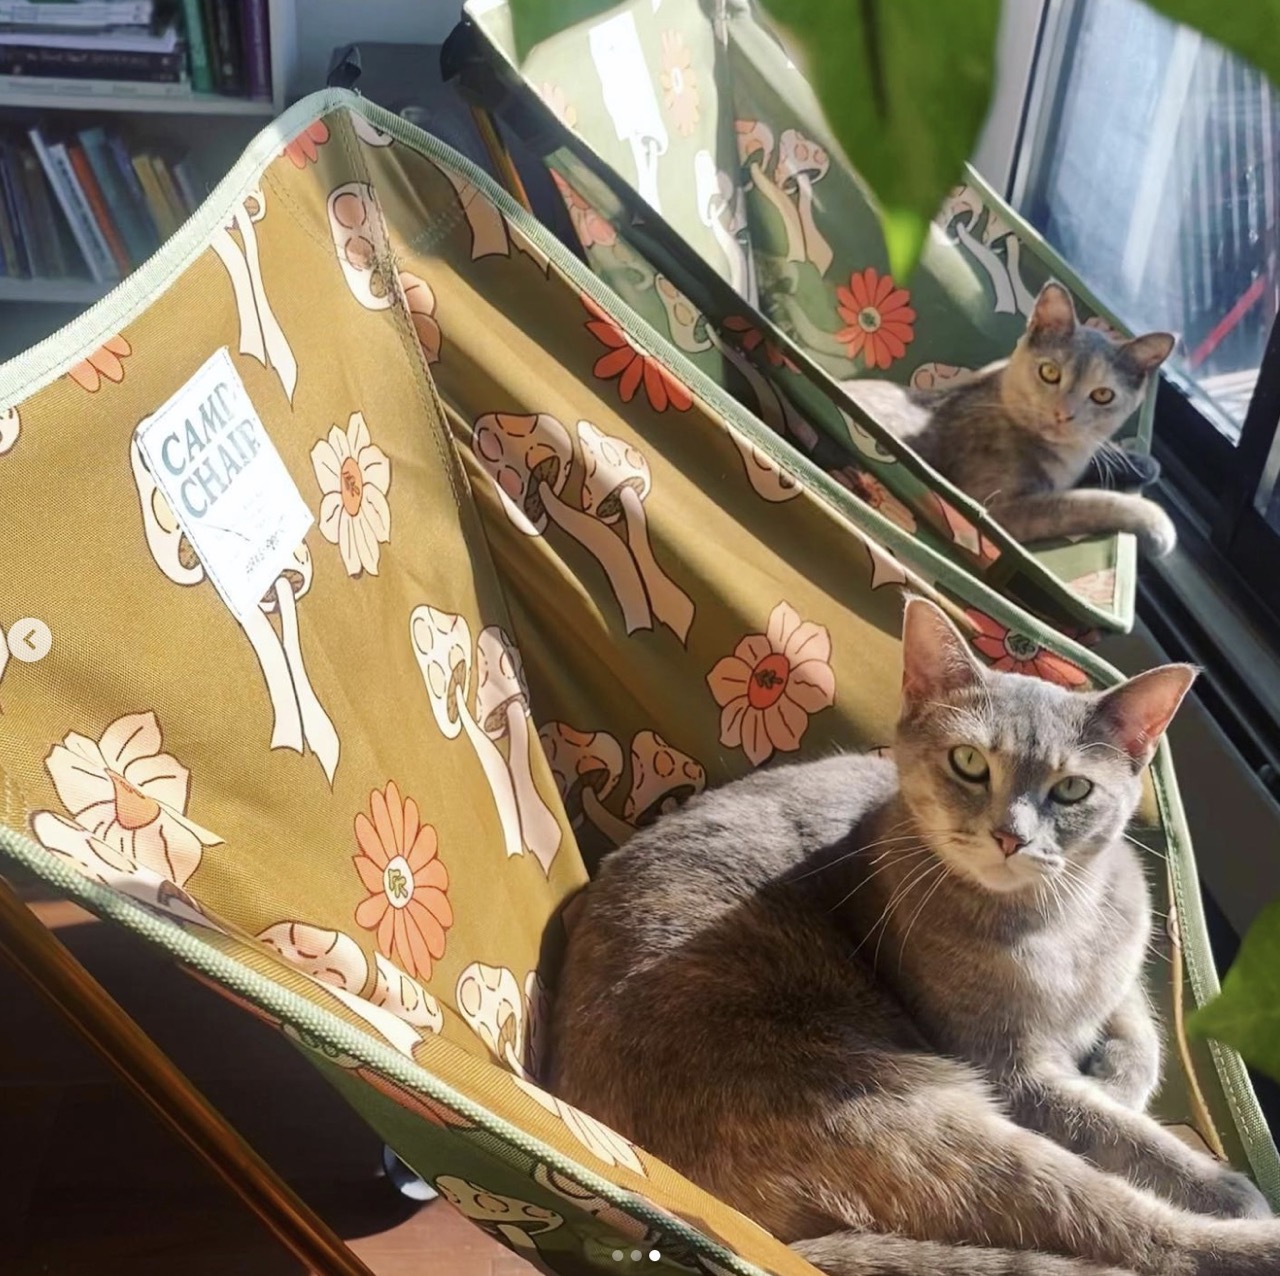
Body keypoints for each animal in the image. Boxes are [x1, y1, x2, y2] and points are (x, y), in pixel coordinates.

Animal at [550, 598, 1280, 1274]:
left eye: (1073, 789)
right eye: (969, 763)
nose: (1011, 835)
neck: (1058, 922)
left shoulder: (1119, 965)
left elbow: (1141, 1033)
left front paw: (1115, 1071)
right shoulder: (1009, 1070)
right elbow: (1114, 1129)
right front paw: (1208, 1177)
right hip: (910, 1115)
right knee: (1134, 1234)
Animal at [839, 284, 1177, 558]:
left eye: (1103, 395)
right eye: (1050, 372)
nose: (1063, 413)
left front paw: (1143, 464)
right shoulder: (999, 510)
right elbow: (1082, 501)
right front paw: (1155, 520)